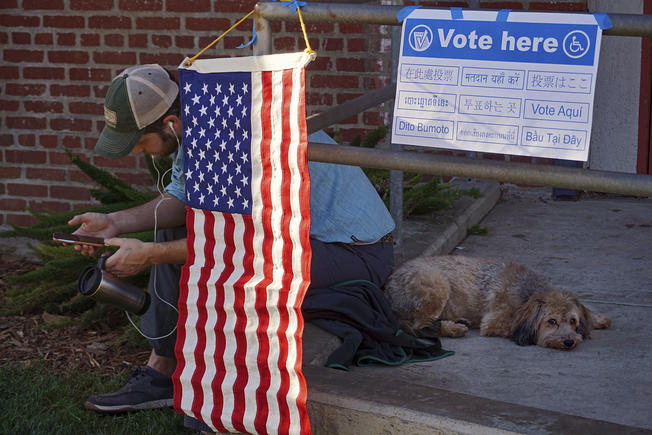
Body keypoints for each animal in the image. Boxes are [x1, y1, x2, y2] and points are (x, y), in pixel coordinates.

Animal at [382, 255, 612, 350]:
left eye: (573, 321)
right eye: (552, 322)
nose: (569, 342)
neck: (528, 293)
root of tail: (388, 286)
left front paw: (596, 319)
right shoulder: (494, 321)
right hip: (437, 285)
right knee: (420, 325)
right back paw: (454, 329)